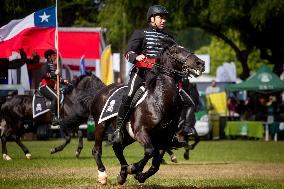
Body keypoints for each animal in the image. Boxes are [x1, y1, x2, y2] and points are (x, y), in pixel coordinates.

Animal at [90, 38, 204, 185]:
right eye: (175, 51)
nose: (200, 63)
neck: (159, 101)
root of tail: (102, 90)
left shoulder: (164, 139)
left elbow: (155, 163)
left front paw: (139, 175)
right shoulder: (141, 131)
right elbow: (150, 151)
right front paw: (134, 168)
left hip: (128, 135)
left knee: (118, 148)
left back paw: (122, 174)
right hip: (101, 125)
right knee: (97, 150)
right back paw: (103, 175)